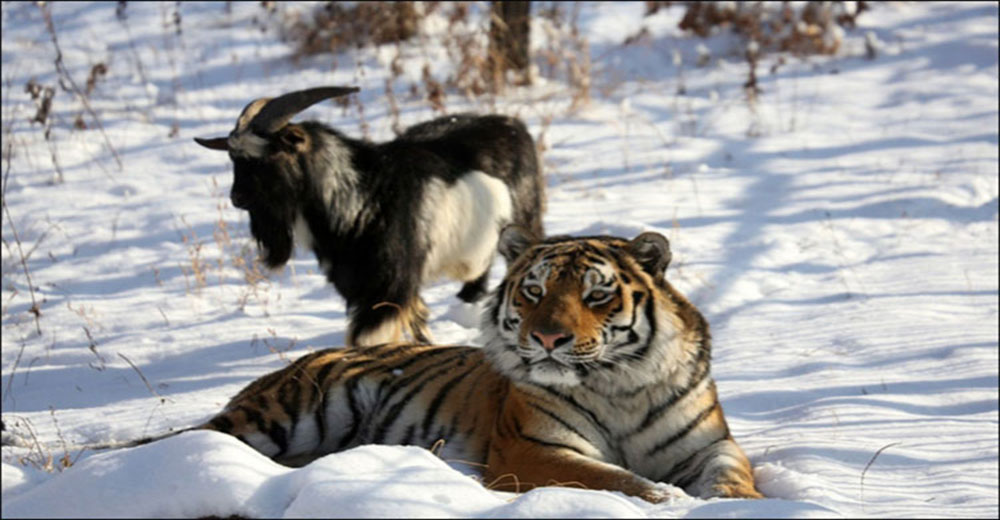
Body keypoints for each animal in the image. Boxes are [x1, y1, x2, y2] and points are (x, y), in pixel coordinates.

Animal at [97, 228, 760, 504]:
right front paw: (662, 498)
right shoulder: (531, 450)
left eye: (596, 295)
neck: (620, 385)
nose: (548, 337)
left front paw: (738, 502)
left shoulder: (710, 443)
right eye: (534, 292)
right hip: (286, 413)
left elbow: (732, 475)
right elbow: (609, 478)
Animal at [191, 86, 544, 346]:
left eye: (270, 155)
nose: (237, 197)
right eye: (234, 158)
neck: (361, 197)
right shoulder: (365, 287)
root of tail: (513, 125)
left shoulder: (388, 286)